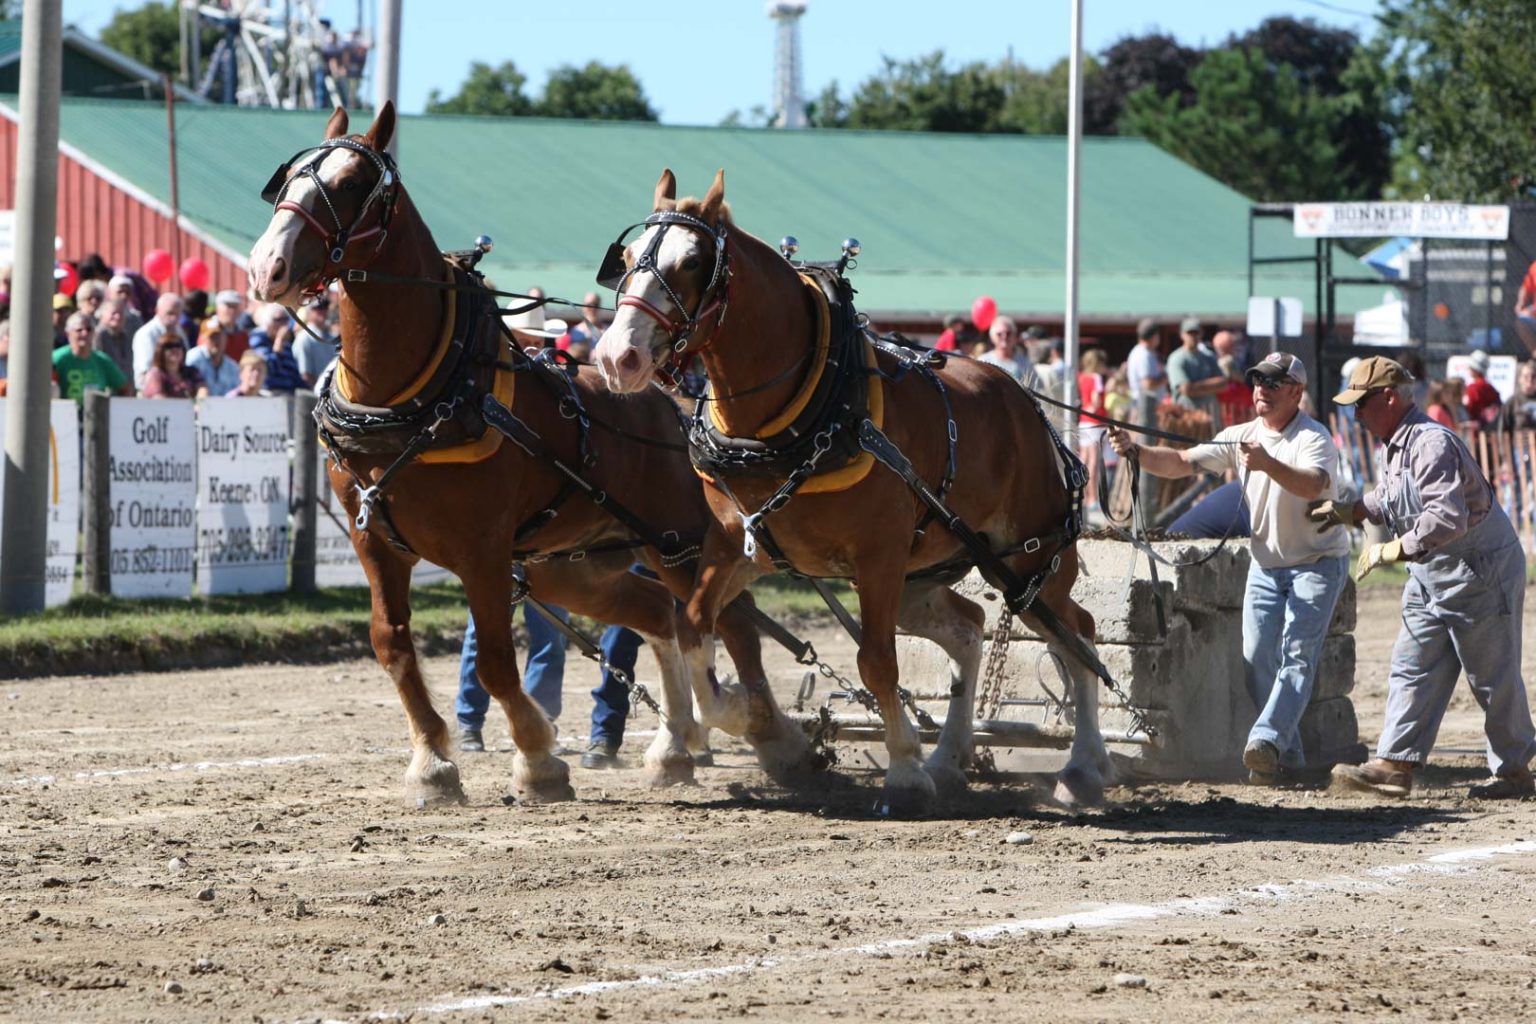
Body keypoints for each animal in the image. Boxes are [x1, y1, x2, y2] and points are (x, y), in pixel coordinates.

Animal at [245, 106, 814, 805]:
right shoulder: (374, 540)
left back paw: (771, 735)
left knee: (726, 624)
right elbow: (391, 645)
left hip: (681, 543)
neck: (414, 393)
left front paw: (537, 756)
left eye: (351, 182)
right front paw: (433, 763)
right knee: (660, 615)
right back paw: (676, 744)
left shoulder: (482, 549)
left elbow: (494, 660)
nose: (267, 266)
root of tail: (679, 403)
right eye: (291, 175)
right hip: (570, 566)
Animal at [593, 169, 1115, 814]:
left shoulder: (876, 556)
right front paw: (740, 716)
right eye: (627, 259)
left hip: (1025, 563)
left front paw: (904, 771)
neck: (799, 412)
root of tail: (1026, 403)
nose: (617, 357)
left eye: (692, 261)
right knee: (969, 628)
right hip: (925, 577)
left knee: (1076, 636)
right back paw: (950, 756)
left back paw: (1084, 765)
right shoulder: (738, 547)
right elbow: (692, 623)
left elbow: (876, 662)